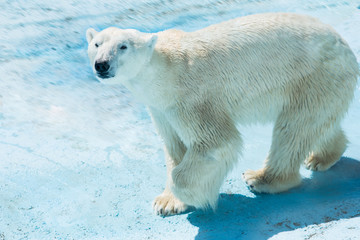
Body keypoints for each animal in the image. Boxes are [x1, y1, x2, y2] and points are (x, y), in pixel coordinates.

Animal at [86, 12, 358, 217]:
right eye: (97, 44)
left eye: (123, 46)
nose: (101, 65)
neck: (163, 72)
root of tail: (344, 44)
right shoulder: (161, 107)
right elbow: (174, 146)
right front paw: (167, 202)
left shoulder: (191, 97)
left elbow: (216, 143)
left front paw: (196, 197)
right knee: (316, 122)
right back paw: (320, 157)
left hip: (313, 74)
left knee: (293, 129)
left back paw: (261, 179)